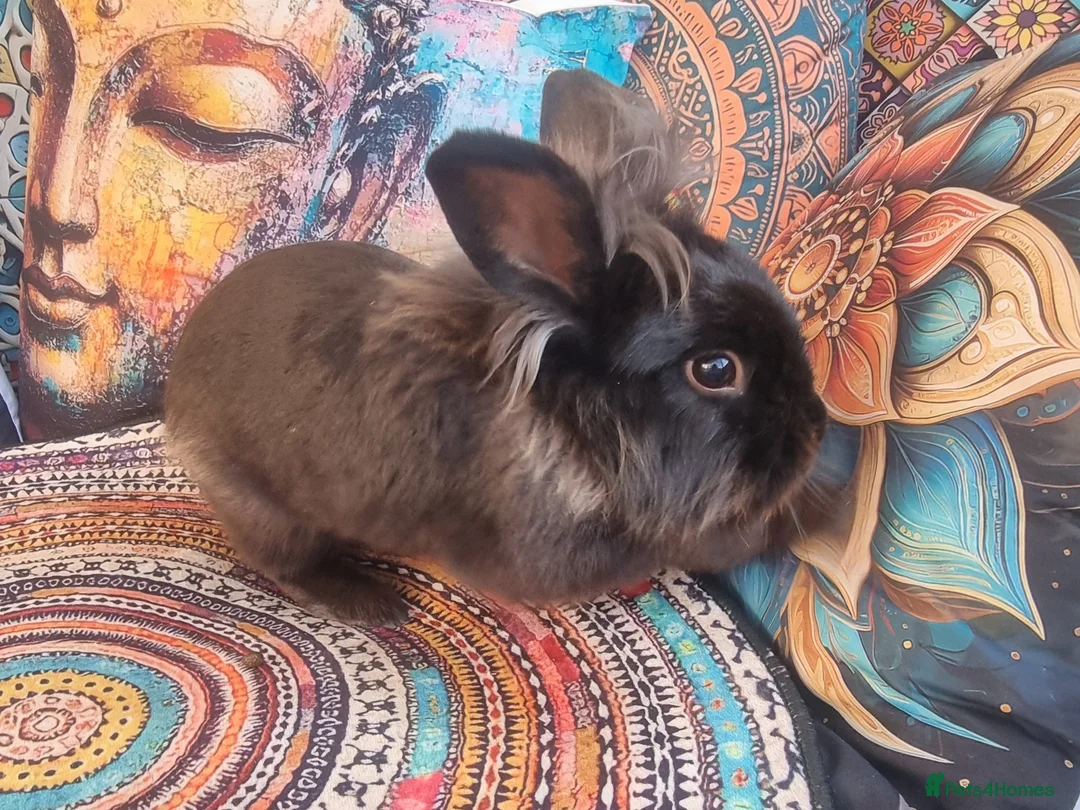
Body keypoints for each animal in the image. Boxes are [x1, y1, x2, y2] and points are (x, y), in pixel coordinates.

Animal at [164, 69, 827, 626]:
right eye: (715, 369)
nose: (817, 429)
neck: (570, 424)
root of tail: (175, 393)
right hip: (265, 508)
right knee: (284, 563)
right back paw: (369, 603)